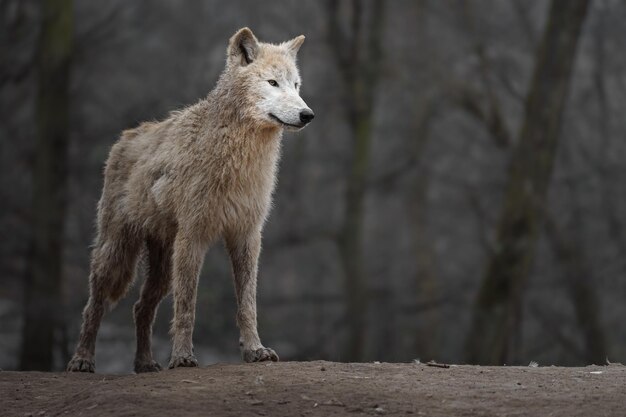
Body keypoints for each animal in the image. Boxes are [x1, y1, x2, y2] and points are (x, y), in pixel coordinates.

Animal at [64, 26, 312, 370]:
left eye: (296, 85)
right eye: (272, 83)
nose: (307, 114)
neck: (239, 159)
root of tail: (125, 137)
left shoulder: (246, 236)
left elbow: (247, 304)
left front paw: (255, 351)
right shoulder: (193, 237)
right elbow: (186, 306)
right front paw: (182, 357)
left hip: (163, 262)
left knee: (141, 306)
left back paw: (145, 364)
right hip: (118, 253)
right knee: (94, 305)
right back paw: (82, 360)